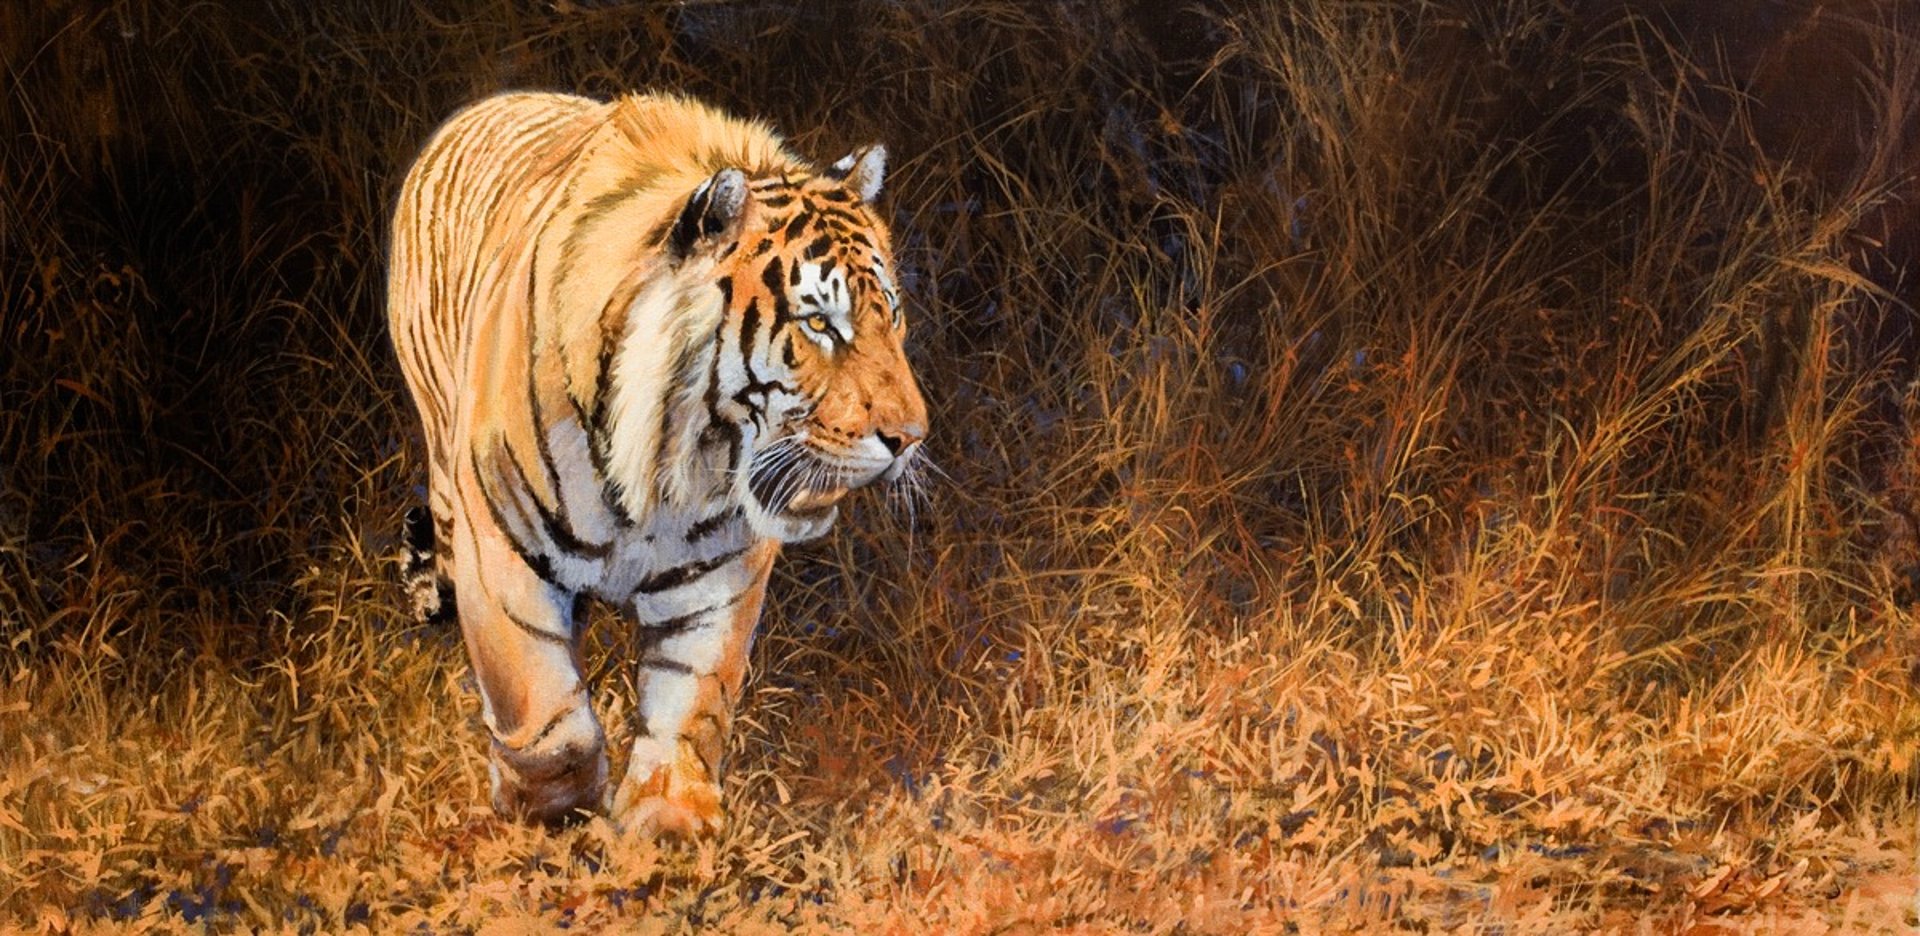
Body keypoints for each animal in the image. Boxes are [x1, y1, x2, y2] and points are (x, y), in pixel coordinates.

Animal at [386, 91, 928, 835]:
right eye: (819, 323)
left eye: (892, 316)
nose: (912, 436)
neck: (674, 462)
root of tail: (487, 104)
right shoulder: (499, 544)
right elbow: (542, 704)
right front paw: (549, 812)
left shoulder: (720, 569)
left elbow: (690, 694)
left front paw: (667, 823)